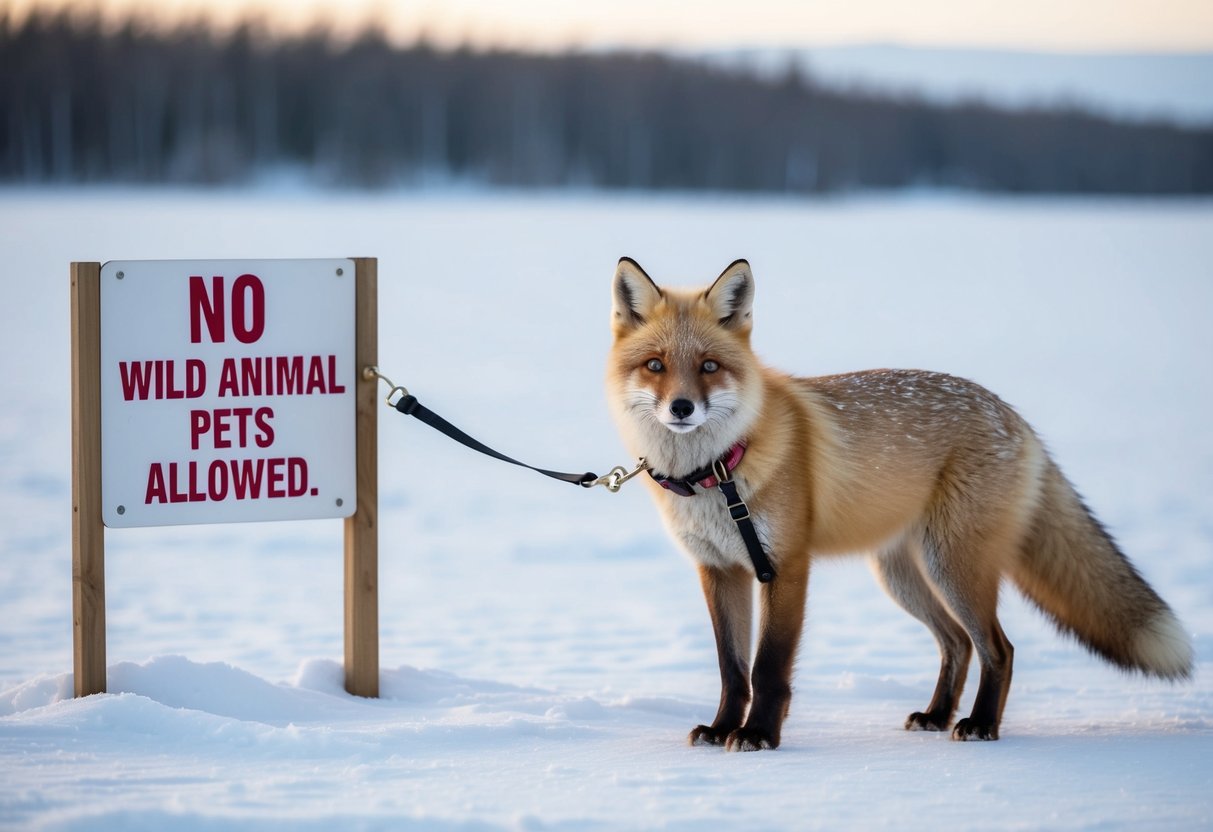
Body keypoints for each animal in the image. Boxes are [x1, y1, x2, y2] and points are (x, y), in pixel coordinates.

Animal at [606, 256, 1193, 751]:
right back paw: (936, 715)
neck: (721, 470)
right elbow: (732, 669)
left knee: (998, 648)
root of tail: (1012, 415)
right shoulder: (719, 570)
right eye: (655, 365)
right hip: (903, 576)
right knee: (957, 643)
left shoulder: (784, 565)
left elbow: (768, 668)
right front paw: (723, 728)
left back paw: (981, 725)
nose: (682, 408)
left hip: (953, 567)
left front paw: (759, 736)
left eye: (708, 367)